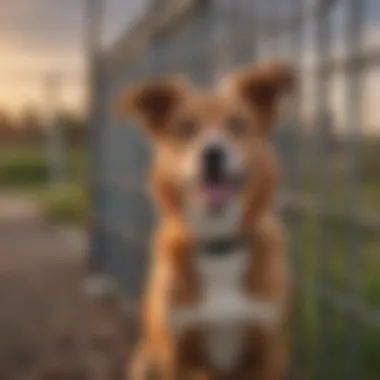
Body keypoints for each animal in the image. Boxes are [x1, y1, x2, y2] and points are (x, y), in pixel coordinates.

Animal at [118, 60, 294, 378]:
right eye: (185, 128)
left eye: (238, 124)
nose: (212, 153)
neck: (218, 245)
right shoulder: (175, 354)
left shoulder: (269, 350)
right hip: (145, 361)